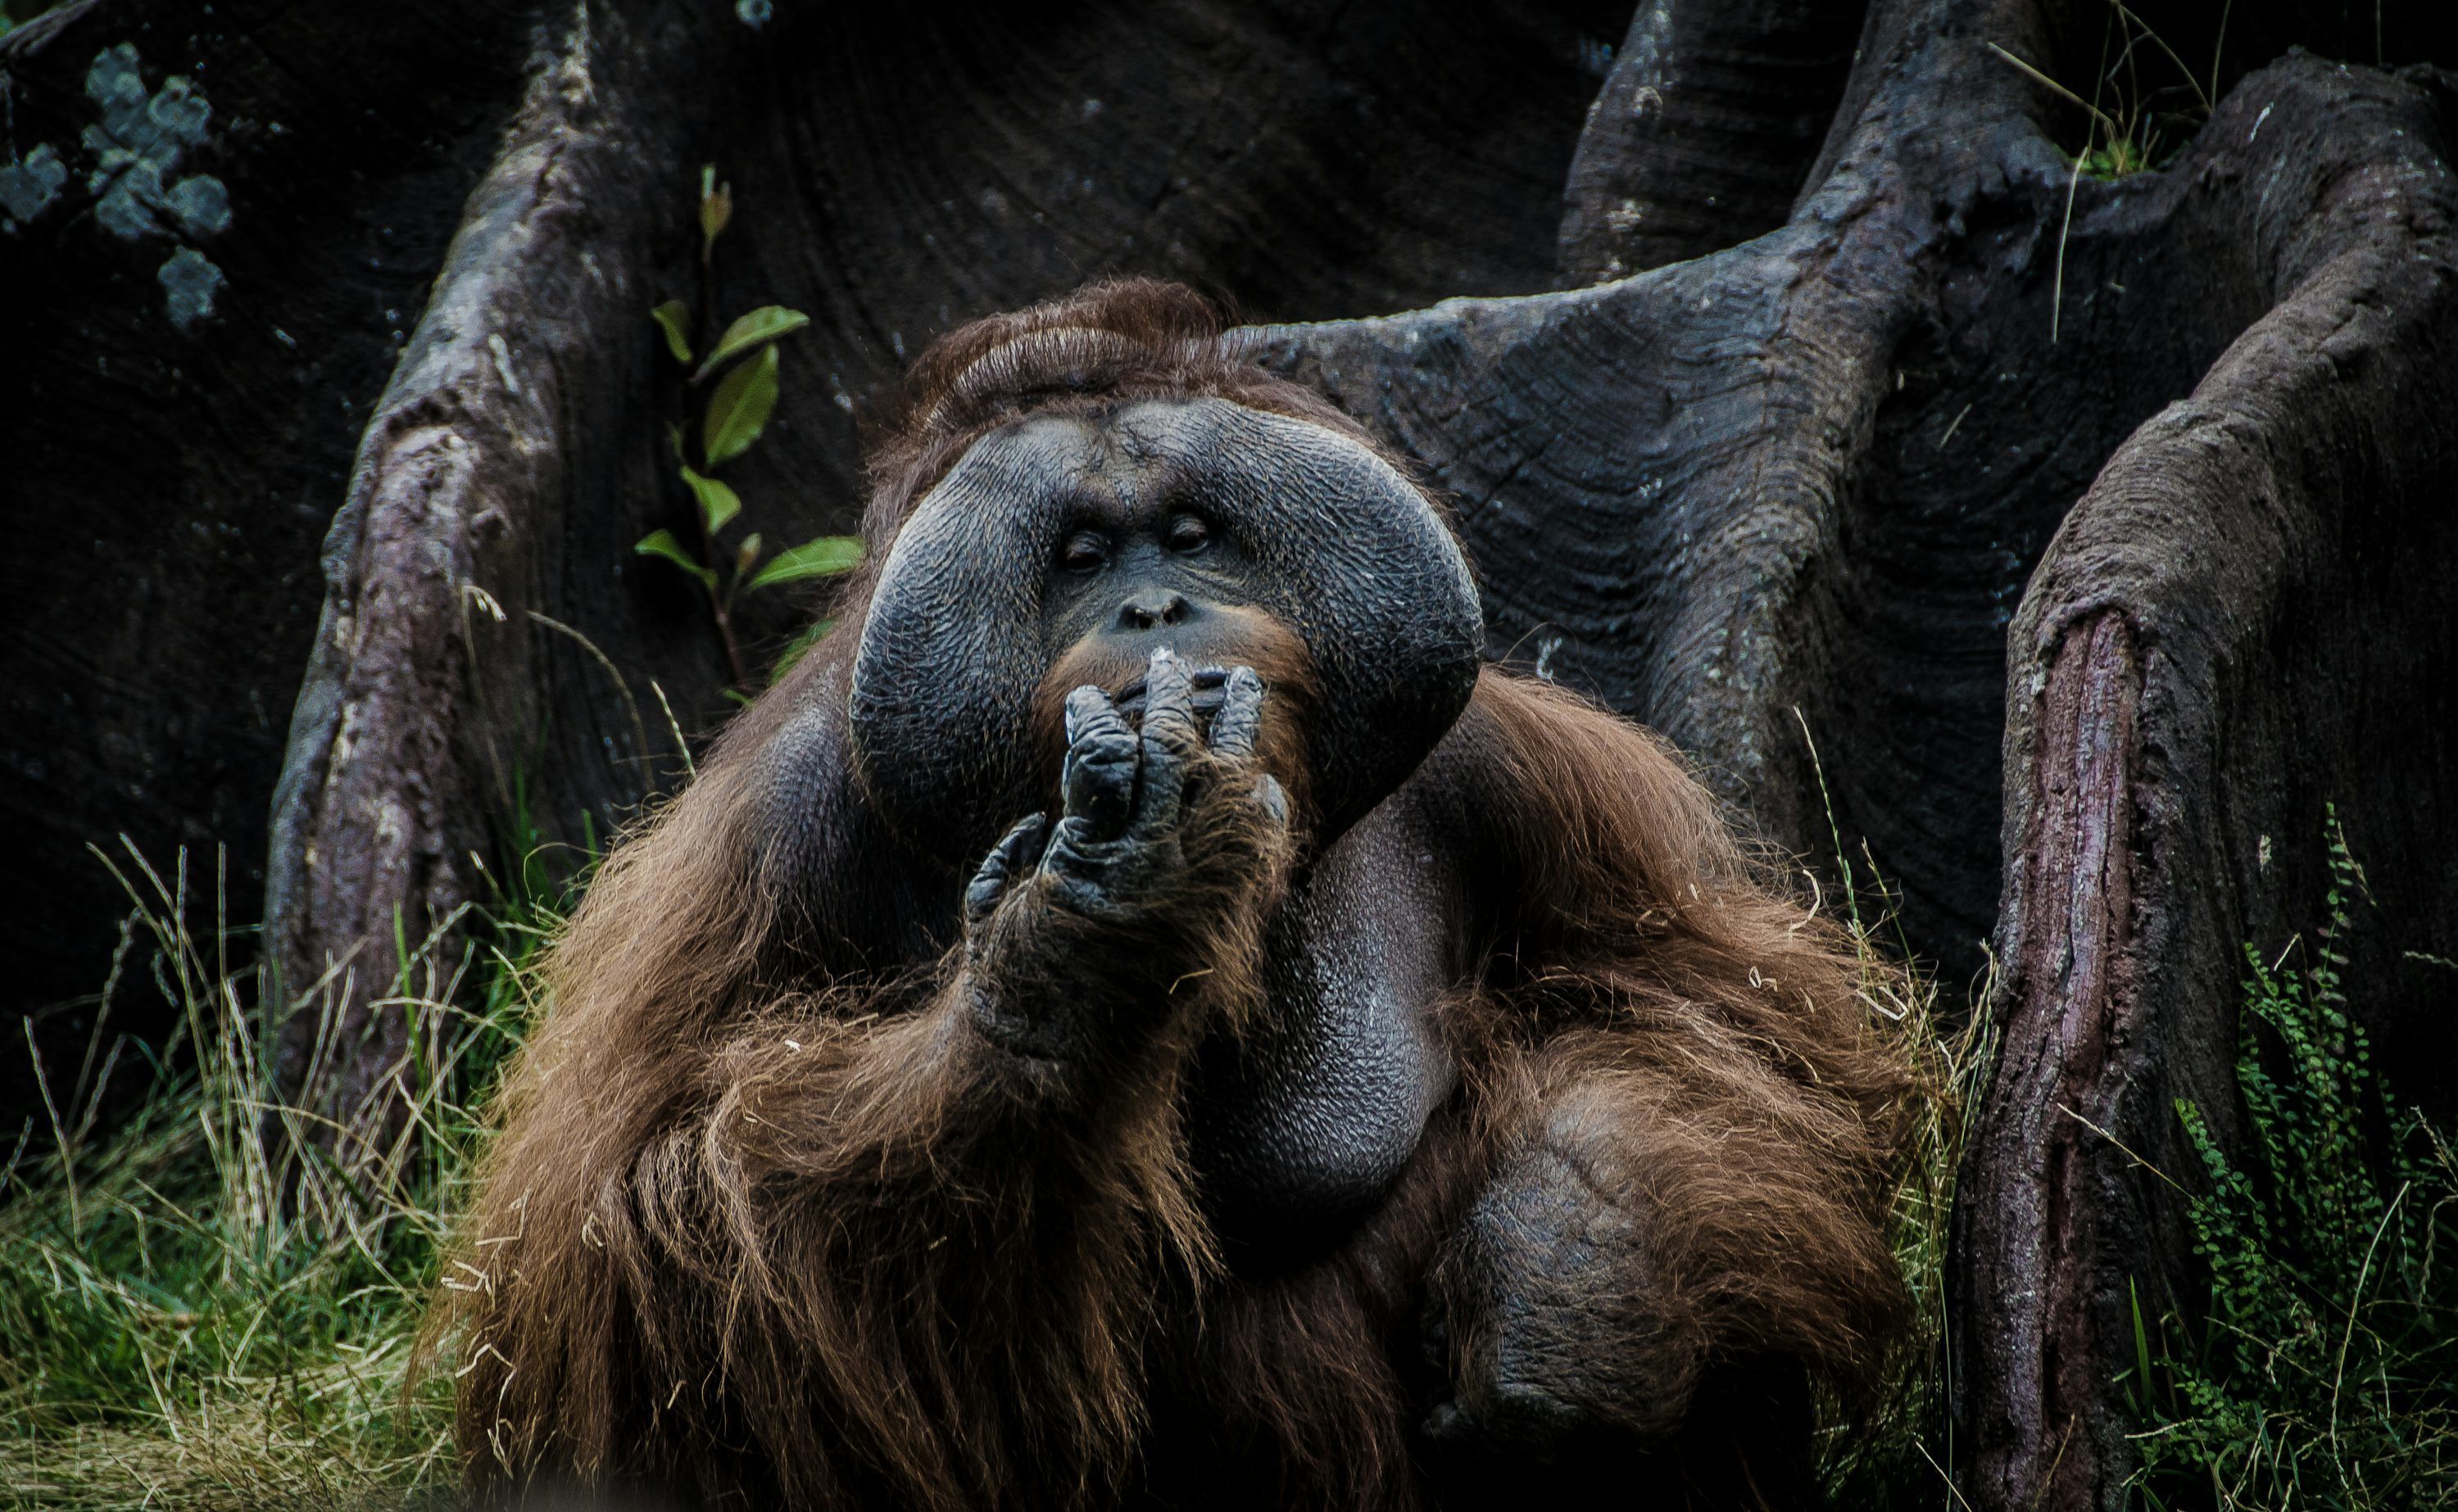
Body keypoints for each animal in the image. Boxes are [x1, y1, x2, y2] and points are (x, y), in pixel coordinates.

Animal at [438, 280, 1924, 1510]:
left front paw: (1569, 1292)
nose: (1155, 610)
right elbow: (644, 1248)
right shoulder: (773, 838)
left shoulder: (1517, 771)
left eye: (1195, 533)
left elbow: (1707, 1009)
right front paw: (1088, 937)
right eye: (1084, 555)